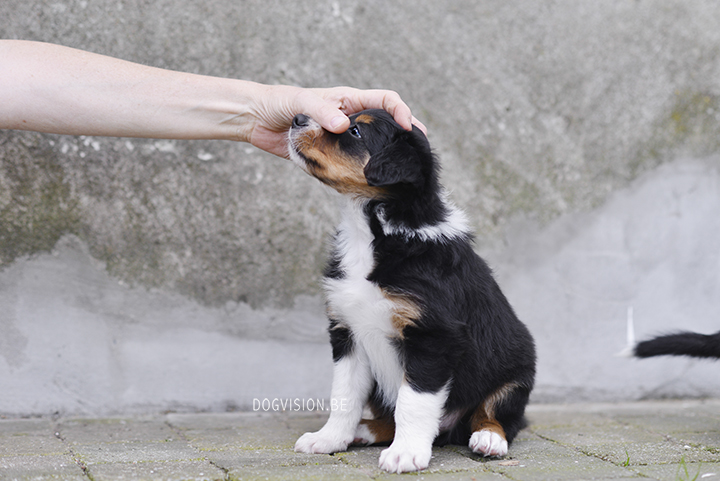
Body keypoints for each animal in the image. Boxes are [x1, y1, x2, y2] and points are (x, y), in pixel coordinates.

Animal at [286, 109, 536, 472]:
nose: (298, 117)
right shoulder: (347, 332)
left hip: (517, 369)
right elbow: (344, 395)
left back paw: (489, 438)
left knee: (497, 414)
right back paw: (364, 430)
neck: (374, 233)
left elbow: (413, 401)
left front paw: (405, 453)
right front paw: (329, 439)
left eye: (356, 131)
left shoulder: (432, 336)